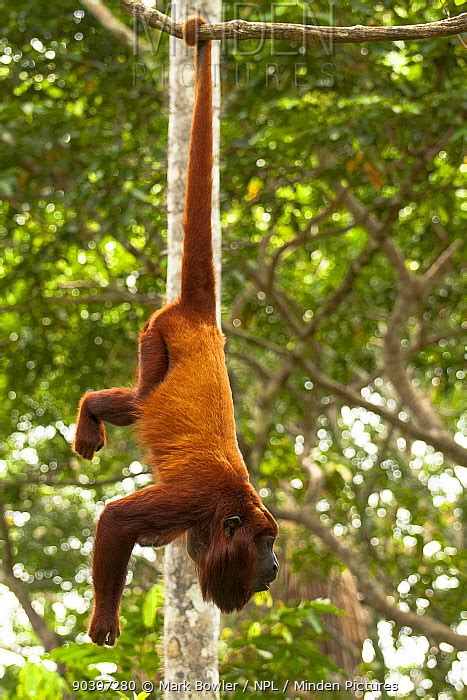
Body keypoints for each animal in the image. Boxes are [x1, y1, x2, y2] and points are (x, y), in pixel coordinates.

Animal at [73, 15, 278, 644]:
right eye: (266, 544)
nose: (277, 565)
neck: (230, 509)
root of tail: (200, 316)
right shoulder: (196, 501)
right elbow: (118, 517)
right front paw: (105, 618)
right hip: (156, 336)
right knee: (142, 393)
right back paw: (90, 412)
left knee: (138, 401)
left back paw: (94, 413)